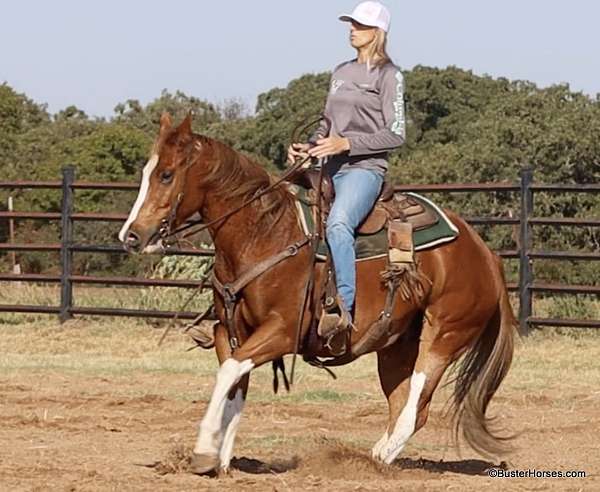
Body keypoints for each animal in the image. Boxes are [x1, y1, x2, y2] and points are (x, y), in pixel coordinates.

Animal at [118, 113, 516, 474]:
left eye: (166, 174)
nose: (131, 236)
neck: (264, 234)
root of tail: (486, 253)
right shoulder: (231, 330)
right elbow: (234, 384)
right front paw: (222, 458)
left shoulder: (282, 332)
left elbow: (228, 372)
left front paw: (204, 452)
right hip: (395, 344)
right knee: (403, 405)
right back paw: (371, 457)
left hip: (444, 336)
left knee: (415, 405)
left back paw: (372, 462)